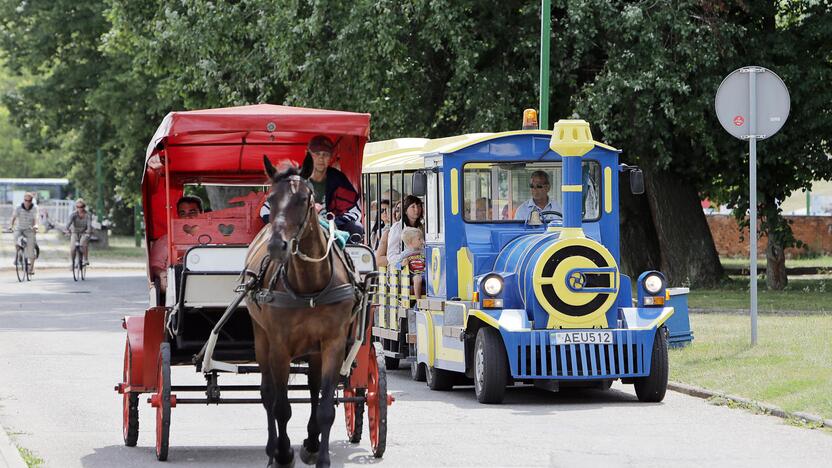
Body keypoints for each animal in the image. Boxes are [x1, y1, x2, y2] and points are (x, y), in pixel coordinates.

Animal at [244, 158, 354, 468]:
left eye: (303, 199)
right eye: (270, 199)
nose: (276, 245)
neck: (310, 286)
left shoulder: (333, 343)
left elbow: (326, 406)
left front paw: (321, 456)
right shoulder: (279, 345)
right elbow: (281, 406)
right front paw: (283, 454)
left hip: (315, 350)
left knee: (314, 390)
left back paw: (312, 442)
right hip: (261, 338)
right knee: (268, 393)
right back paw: (273, 449)